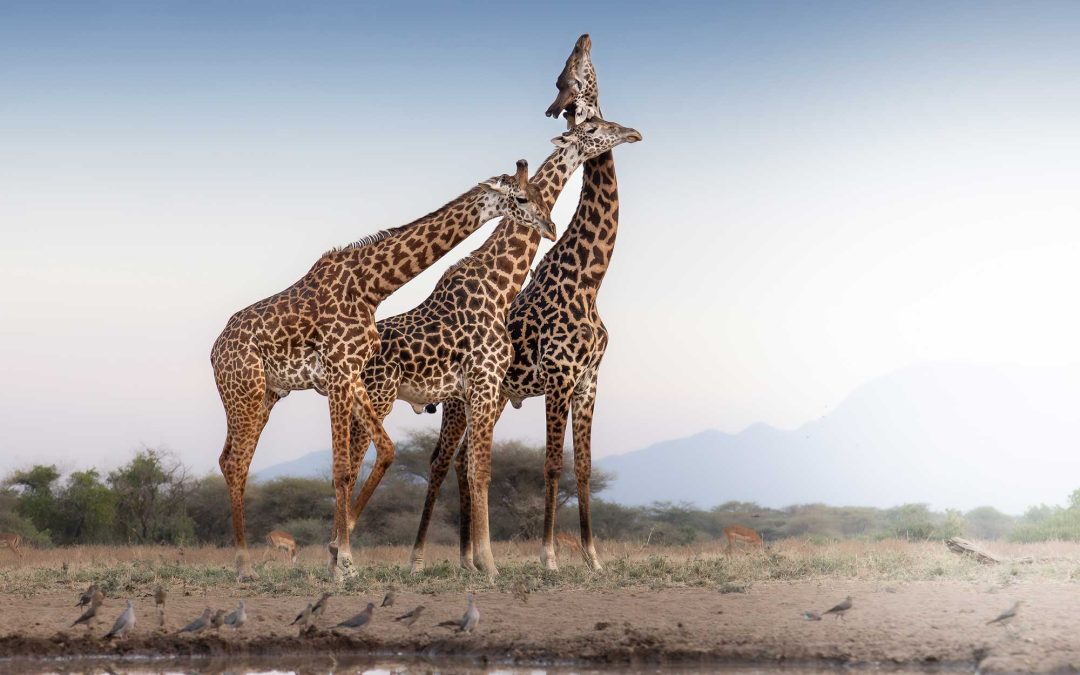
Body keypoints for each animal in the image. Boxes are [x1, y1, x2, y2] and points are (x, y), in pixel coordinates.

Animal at [210, 159, 555, 582]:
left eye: (540, 194)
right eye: (521, 198)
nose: (550, 226)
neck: (371, 286)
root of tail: (214, 351)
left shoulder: (351, 372)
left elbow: (385, 450)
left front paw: (342, 555)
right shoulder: (337, 370)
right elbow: (342, 468)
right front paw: (343, 563)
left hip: (266, 395)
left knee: (232, 460)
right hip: (243, 390)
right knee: (236, 462)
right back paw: (243, 566)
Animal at [411, 35, 627, 573]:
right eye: (569, 73)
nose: (634, 131)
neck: (588, 282)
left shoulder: (589, 380)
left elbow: (583, 468)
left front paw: (593, 557)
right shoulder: (560, 378)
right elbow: (551, 467)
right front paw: (549, 557)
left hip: (486, 401)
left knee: (465, 463)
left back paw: (468, 557)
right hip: (459, 401)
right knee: (443, 461)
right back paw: (425, 557)